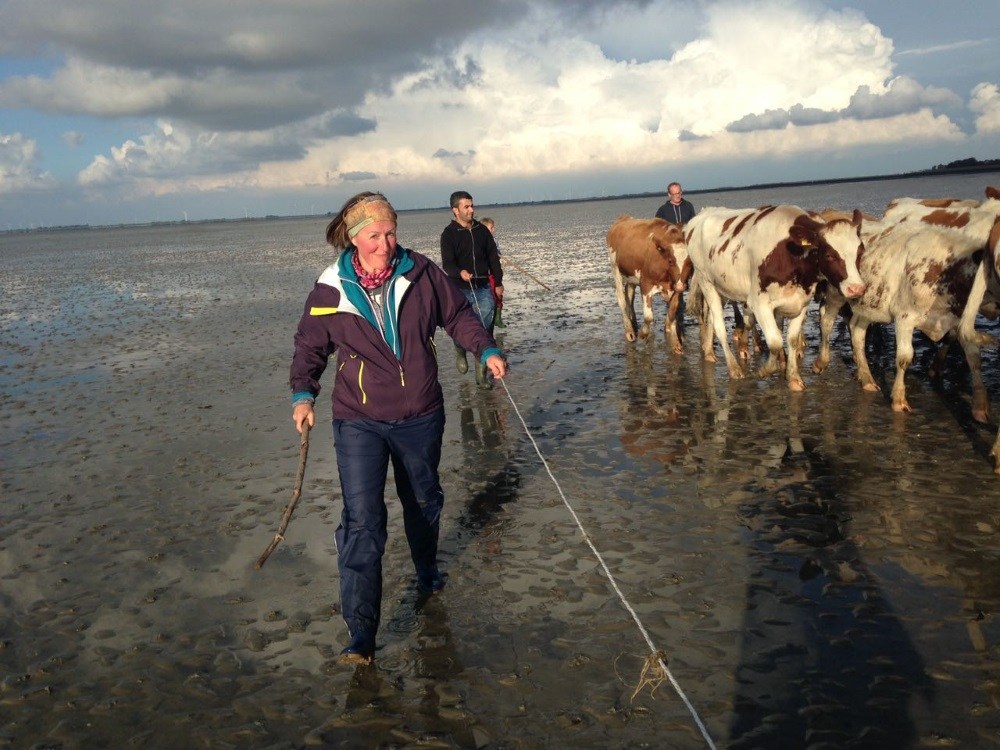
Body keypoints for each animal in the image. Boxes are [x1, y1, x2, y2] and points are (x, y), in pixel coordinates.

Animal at [604, 216, 692, 354]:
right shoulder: (646, 285)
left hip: (631, 277)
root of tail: (623, 217)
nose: (681, 286)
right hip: (615, 269)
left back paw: (634, 323)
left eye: (690, 263)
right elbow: (649, 317)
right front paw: (643, 334)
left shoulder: (675, 289)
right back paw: (629, 331)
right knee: (621, 298)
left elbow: (672, 314)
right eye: (670, 261)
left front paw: (676, 344)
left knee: (629, 295)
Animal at [684, 206, 864, 394]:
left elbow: (792, 340)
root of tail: (704, 213)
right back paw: (734, 368)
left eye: (861, 251)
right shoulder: (759, 304)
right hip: (706, 281)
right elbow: (775, 341)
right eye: (829, 255)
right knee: (719, 325)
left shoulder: (801, 302)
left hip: (722, 288)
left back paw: (709, 352)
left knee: (712, 319)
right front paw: (765, 369)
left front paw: (793, 378)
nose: (857, 288)